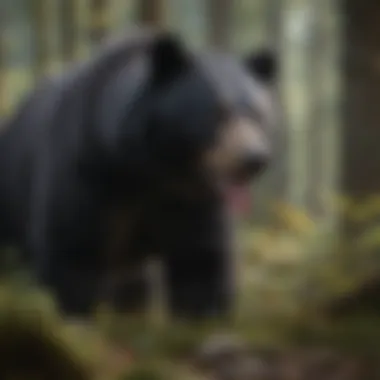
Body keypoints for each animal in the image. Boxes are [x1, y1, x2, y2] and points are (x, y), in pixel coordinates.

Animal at [0, 29, 276, 320]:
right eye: (218, 112)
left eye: (258, 113)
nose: (254, 159)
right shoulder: (86, 169)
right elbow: (72, 252)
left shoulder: (195, 200)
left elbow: (199, 260)